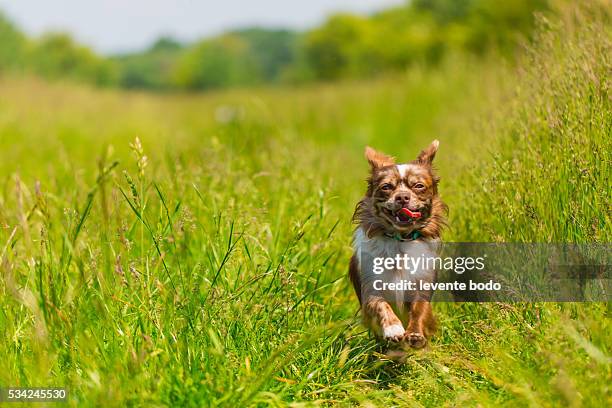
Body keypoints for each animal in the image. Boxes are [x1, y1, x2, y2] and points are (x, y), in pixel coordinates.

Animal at [352, 141, 448, 348]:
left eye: (419, 186)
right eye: (386, 187)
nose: (402, 197)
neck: (400, 239)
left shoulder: (421, 286)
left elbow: (419, 310)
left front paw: (415, 334)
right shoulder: (371, 287)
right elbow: (381, 305)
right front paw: (393, 329)